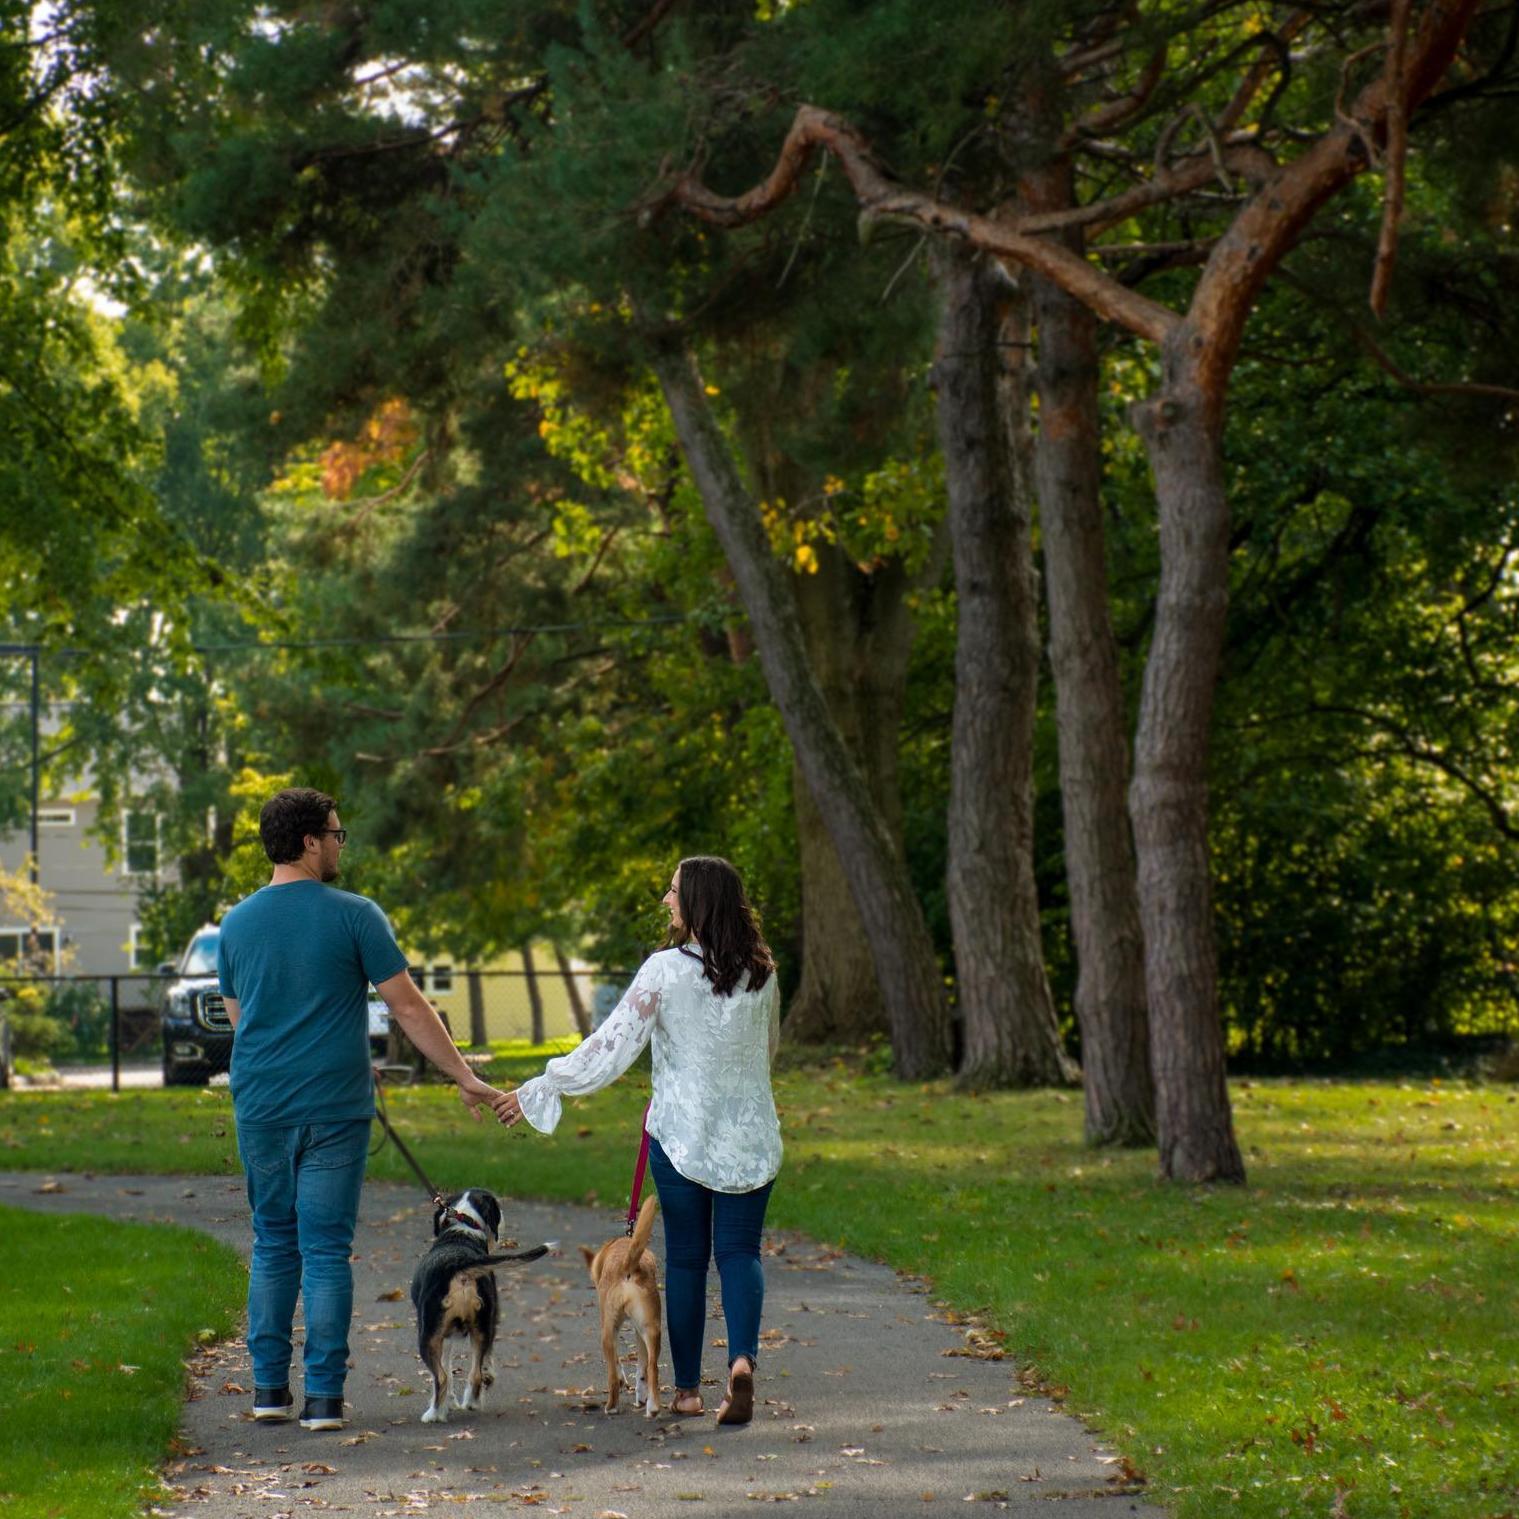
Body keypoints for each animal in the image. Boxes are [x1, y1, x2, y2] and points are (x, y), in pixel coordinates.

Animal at [413, 1184, 555, 1421]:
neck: (462, 1231)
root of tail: (461, 1265)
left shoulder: (442, 1336)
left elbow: (447, 1371)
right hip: (482, 1327)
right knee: (476, 1374)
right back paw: (472, 1402)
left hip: (428, 1336)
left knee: (441, 1377)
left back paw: (433, 1414)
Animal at [574, 1196, 659, 1421]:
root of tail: (629, 1265)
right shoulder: (639, 1332)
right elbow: (641, 1368)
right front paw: (641, 1396)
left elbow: (618, 1362)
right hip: (652, 1329)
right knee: (652, 1367)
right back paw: (653, 1407)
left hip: (607, 1331)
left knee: (612, 1374)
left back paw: (611, 1406)